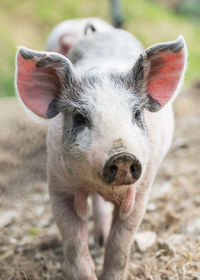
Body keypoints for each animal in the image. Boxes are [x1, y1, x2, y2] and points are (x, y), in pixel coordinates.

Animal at [15, 17, 188, 280]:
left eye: (136, 114)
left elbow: (120, 243)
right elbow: (73, 241)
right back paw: (98, 240)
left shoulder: (142, 189)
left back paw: (102, 239)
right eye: (80, 118)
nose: (122, 155)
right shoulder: (57, 184)